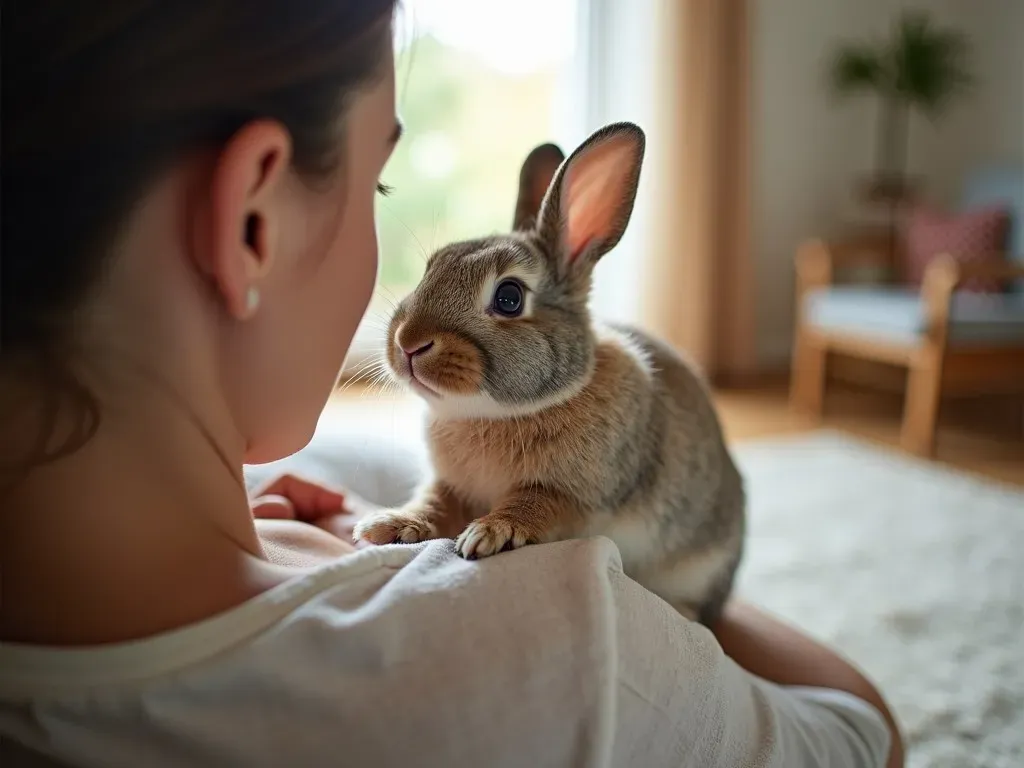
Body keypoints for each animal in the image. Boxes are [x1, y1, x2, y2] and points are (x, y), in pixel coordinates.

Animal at [354, 121, 745, 626]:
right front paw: (387, 525)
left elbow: (536, 505)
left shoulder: (576, 495)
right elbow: (434, 503)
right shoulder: (450, 486)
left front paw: (490, 533)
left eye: (509, 298)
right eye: (432, 267)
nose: (408, 342)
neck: (496, 412)